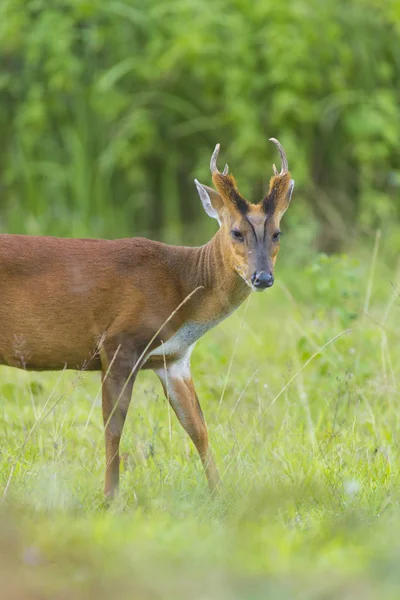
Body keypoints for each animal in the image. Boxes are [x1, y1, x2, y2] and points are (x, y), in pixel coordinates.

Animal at [0, 138, 294, 500]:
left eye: (278, 233)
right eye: (237, 232)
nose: (262, 277)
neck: (181, 288)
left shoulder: (174, 359)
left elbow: (198, 427)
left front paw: (220, 493)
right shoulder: (119, 343)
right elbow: (113, 426)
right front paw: (110, 498)